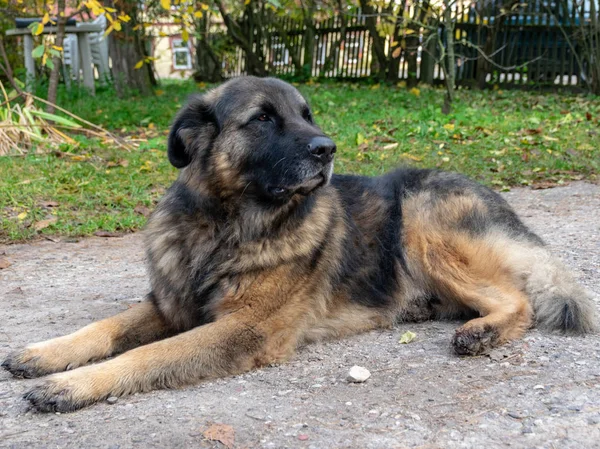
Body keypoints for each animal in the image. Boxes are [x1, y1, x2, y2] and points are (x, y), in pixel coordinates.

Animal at [2, 76, 596, 410]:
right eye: (263, 119)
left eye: (307, 116)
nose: (328, 148)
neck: (227, 226)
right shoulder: (171, 304)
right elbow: (105, 327)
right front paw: (46, 354)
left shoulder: (244, 330)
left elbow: (148, 354)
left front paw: (71, 385)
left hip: (422, 222)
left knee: (518, 298)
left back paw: (483, 331)